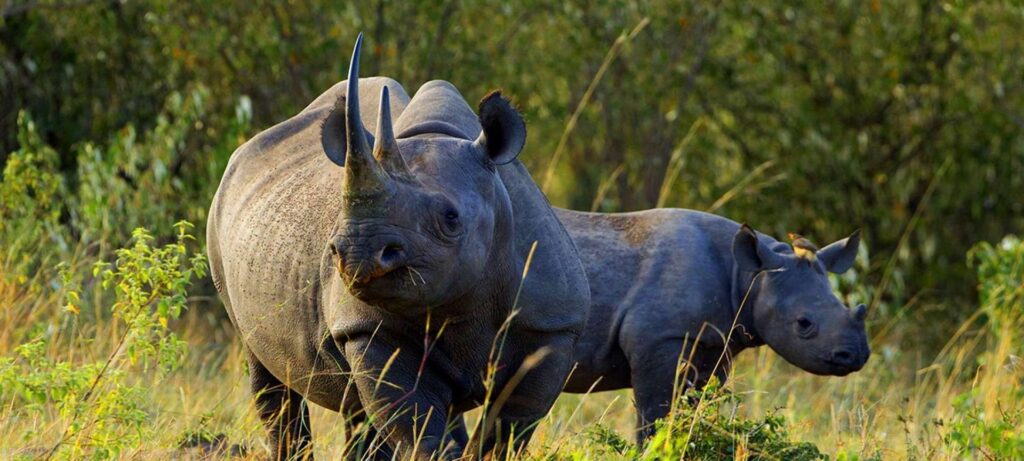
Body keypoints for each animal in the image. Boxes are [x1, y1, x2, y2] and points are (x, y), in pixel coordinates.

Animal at [204, 34, 589, 458]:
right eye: (337, 220)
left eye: (450, 217)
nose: (358, 253)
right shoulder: (369, 329)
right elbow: (416, 427)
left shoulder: (552, 328)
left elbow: (506, 432)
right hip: (220, 227)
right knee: (271, 375)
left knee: (358, 410)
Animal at [557, 206, 868, 440]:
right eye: (803, 324)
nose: (856, 355)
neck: (747, 275)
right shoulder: (659, 338)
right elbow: (654, 417)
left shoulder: (715, 344)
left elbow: (692, 412)